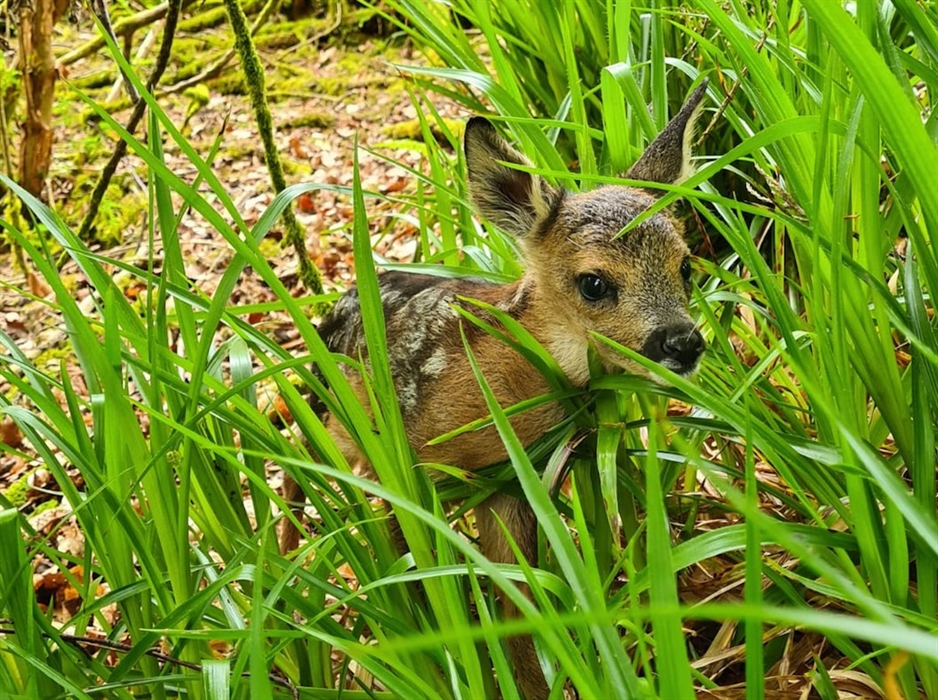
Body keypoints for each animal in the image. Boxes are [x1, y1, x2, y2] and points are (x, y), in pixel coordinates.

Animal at [281, 81, 709, 700]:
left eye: (687, 267)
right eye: (594, 282)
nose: (683, 341)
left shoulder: (511, 488)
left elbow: (519, 613)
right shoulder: (409, 469)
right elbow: (419, 589)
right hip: (330, 416)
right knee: (292, 458)